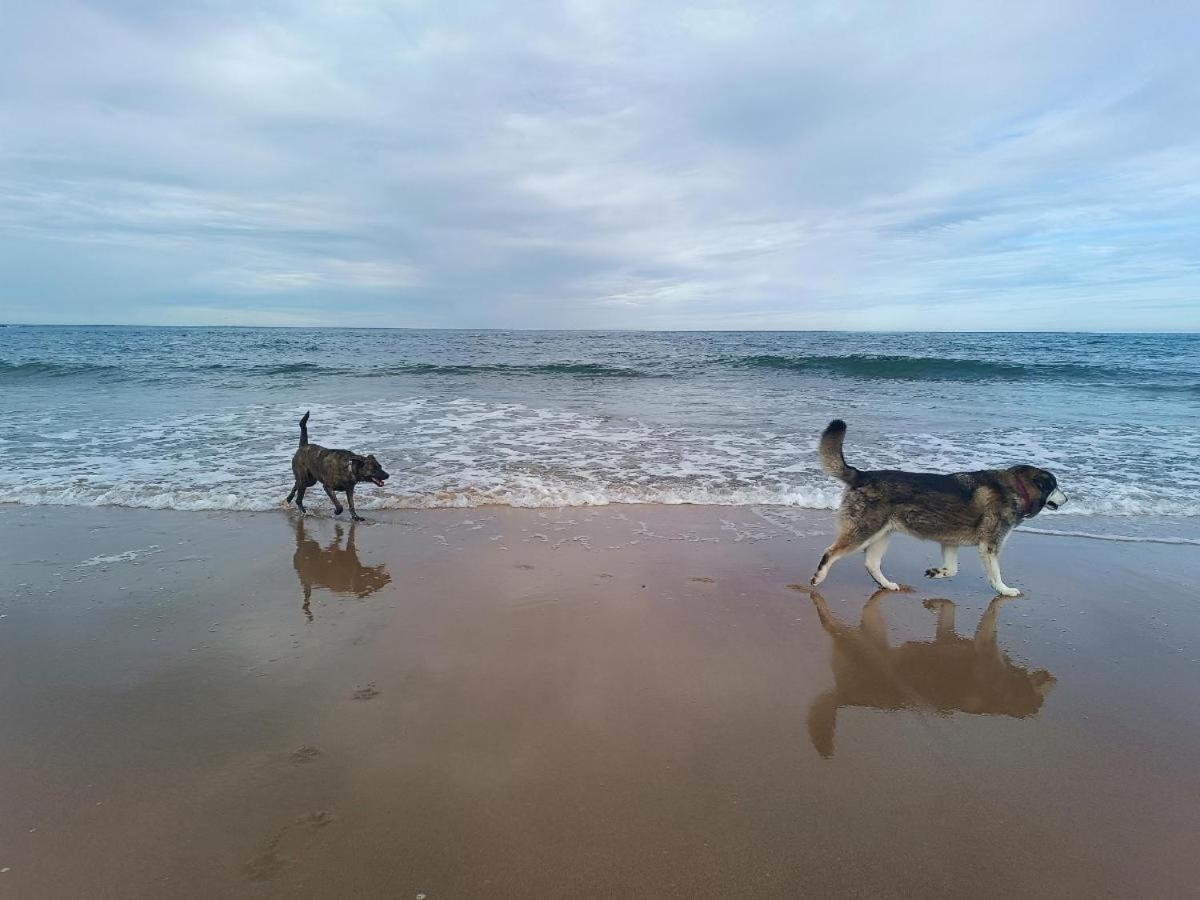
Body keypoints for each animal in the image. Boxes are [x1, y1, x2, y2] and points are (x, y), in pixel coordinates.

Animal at [811, 422, 1065, 600]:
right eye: (1056, 486)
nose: (1068, 498)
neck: (1017, 488)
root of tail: (862, 475)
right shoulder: (989, 546)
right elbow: (995, 574)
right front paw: (1005, 590)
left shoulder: (950, 542)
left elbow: (952, 570)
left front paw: (937, 572)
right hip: (864, 531)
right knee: (830, 552)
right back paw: (819, 576)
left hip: (882, 534)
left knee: (871, 563)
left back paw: (886, 584)